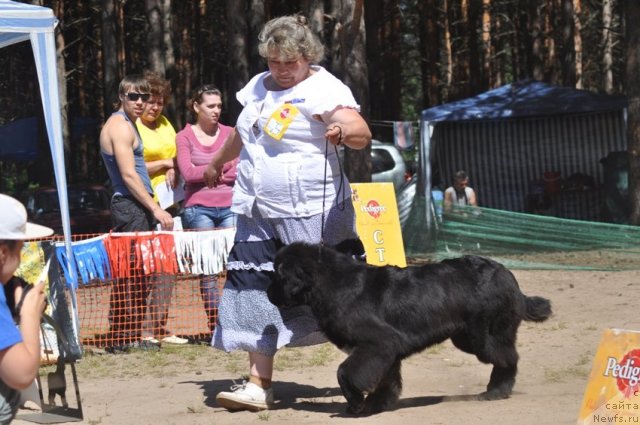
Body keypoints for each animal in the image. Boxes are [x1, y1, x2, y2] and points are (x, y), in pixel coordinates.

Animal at [268, 242, 552, 414]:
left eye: (279, 275)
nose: (268, 292)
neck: (332, 284)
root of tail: (508, 276)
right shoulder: (387, 350)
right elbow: (387, 380)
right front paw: (376, 405)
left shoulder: (376, 343)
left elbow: (345, 372)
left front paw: (356, 404)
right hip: (466, 337)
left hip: (483, 336)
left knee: (508, 357)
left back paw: (496, 392)